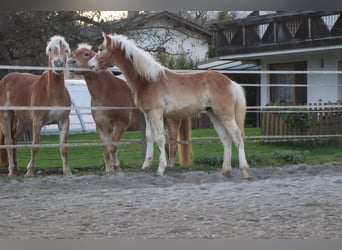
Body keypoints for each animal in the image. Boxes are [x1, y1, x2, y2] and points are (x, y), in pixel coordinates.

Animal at [0, 35, 72, 176]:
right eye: (50, 49)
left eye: (66, 50)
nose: (58, 64)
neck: (52, 93)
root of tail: (6, 78)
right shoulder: (37, 122)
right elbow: (35, 146)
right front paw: (29, 172)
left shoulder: (64, 121)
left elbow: (64, 148)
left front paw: (67, 171)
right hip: (6, 115)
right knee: (9, 142)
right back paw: (11, 170)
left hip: (24, 120)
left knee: (15, 139)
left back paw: (16, 168)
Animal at [88, 32, 248, 178]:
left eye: (101, 49)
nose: (90, 65)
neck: (148, 80)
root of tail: (230, 83)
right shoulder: (147, 114)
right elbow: (149, 137)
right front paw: (146, 165)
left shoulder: (156, 113)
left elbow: (160, 139)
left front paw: (160, 169)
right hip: (213, 114)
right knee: (226, 138)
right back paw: (225, 171)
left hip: (225, 114)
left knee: (237, 136)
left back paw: (244, 171)